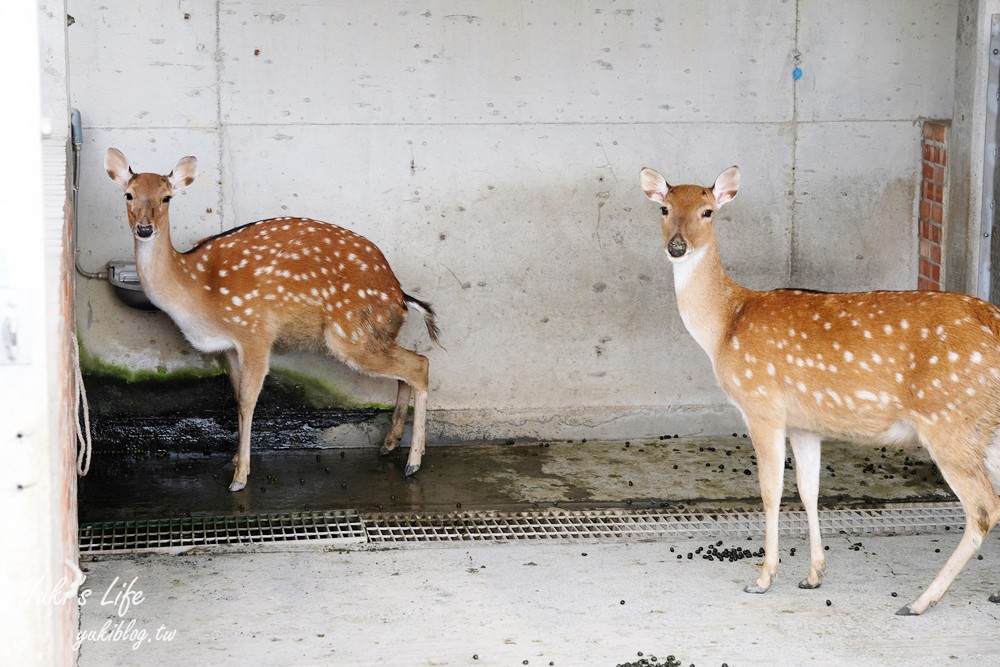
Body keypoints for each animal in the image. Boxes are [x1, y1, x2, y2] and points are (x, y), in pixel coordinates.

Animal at [104, 149, 442, 494]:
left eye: (167, 197)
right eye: (128, 194)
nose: (145, 229)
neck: (195, 289)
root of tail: (400, 294)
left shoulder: (255, 330)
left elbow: (248, 401)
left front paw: (239, 477)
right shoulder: (229, 346)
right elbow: (237, 397)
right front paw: (233, 459)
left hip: (351, 332)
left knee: (419, 365)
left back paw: (413, 462)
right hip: (373, 333)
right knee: (408, 368)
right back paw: (389, 444)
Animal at [640, 166, 1000, 616]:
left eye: (707, 211)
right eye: (664, 209)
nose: (677, 246)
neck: (725, 326)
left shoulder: (762, 405)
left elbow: (770, 492)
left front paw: (763, 578)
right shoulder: (804, 423)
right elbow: (809, 491)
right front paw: (814, 575)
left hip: (950, 420)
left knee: (984, 509)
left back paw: (919, 601)